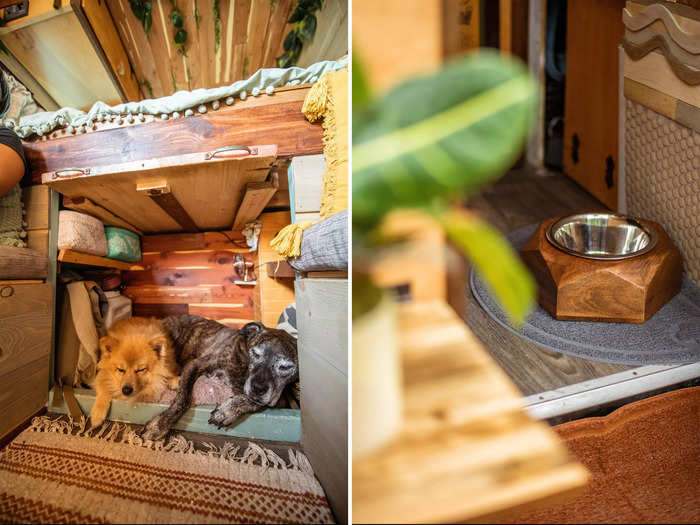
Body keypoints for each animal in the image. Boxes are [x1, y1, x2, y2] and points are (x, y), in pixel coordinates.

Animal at [141, 314, 296, 440]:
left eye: (286, 367)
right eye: (256, 353)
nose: (257, 388)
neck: (245, 365)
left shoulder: (279, 399)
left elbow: (256, 402)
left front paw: (226, 411)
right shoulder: (194, 365)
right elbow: (182, 400)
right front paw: (159, 425)